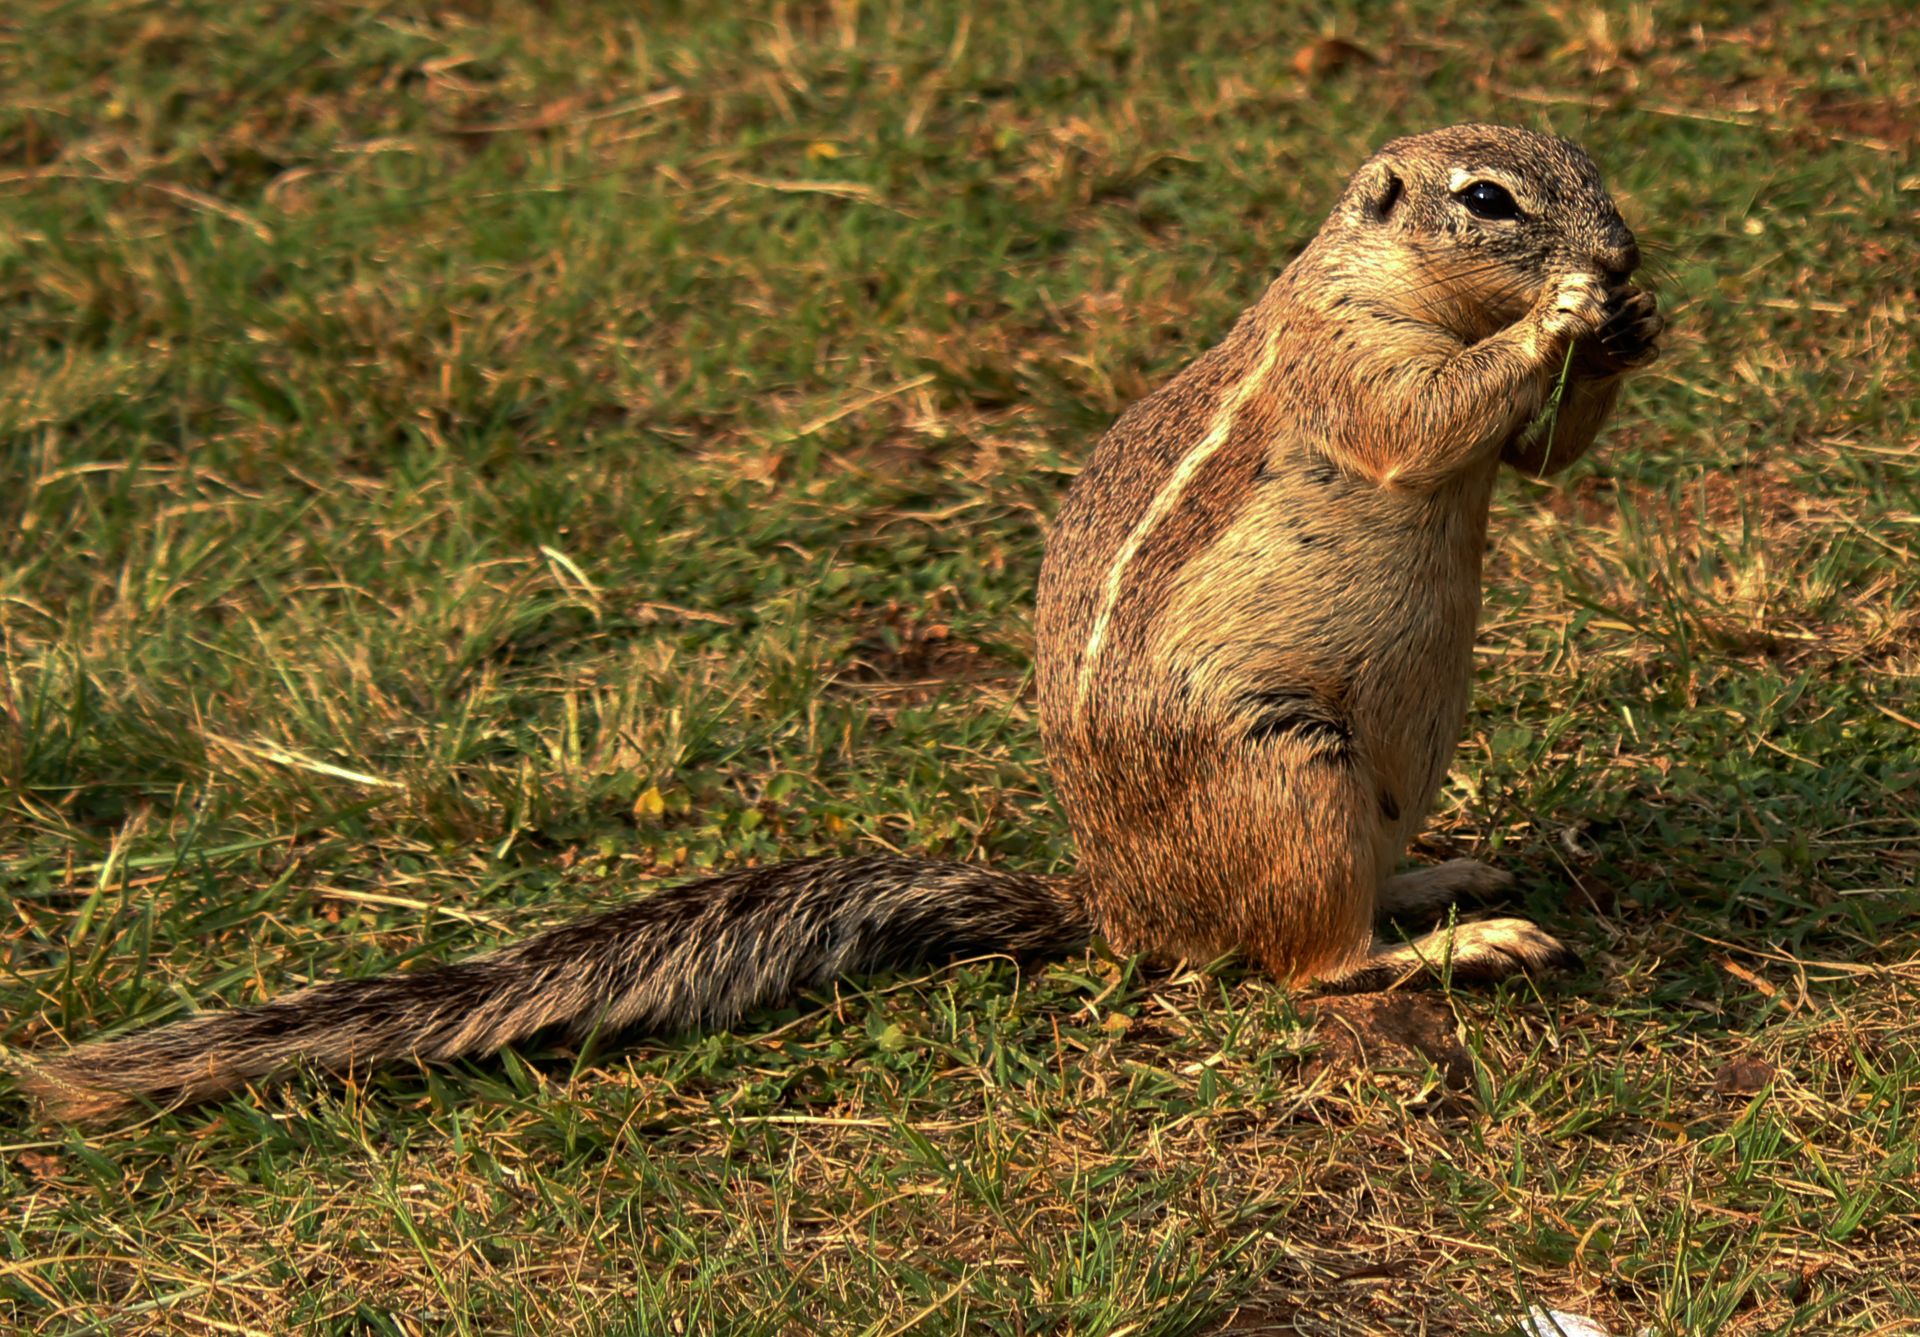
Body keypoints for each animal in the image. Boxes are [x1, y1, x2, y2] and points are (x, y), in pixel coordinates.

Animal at [22, 124, 1663, 1121]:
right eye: (1490, 200)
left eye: (1589, 162)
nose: (1630, 254)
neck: (1383, 279)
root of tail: (1117, 905)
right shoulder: (1351, 366)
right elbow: (1431, 418)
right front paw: (1563, 315)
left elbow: (1533, 462)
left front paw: (1624, 333)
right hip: (1288, 772)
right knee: (1303, 966)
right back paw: (1469, 944)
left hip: (1365, 782)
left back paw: (1452, 871)